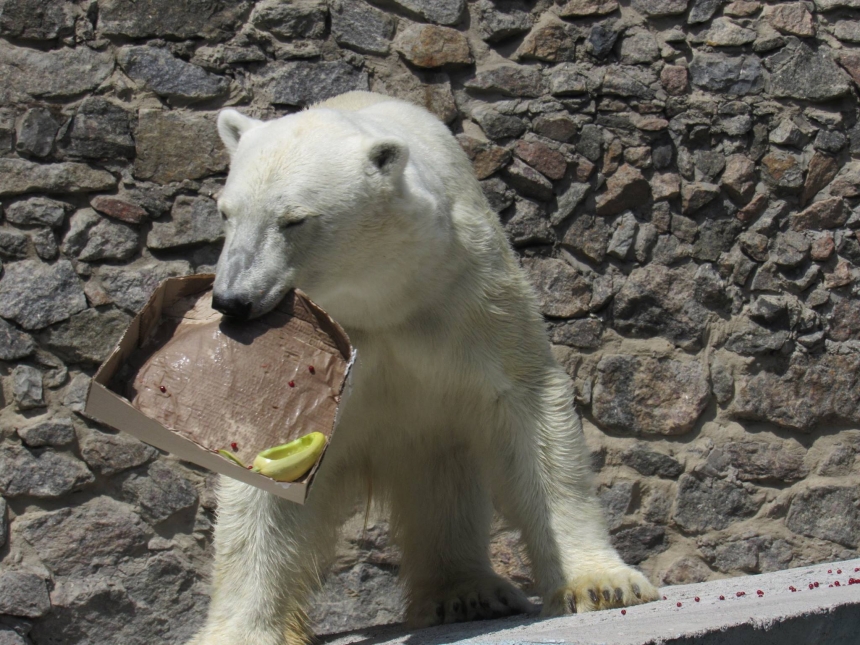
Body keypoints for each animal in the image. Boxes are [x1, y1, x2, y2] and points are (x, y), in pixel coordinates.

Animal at [190, 90, 660, 644]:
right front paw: (237, 632)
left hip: (433, 438)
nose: (231, 301)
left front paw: (603, 584)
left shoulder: (467, 296)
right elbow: (266, 457)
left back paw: (468, 593)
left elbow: (527, 409)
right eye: (226, 214)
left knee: (444, 490)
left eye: (294, 219)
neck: (382, 301)